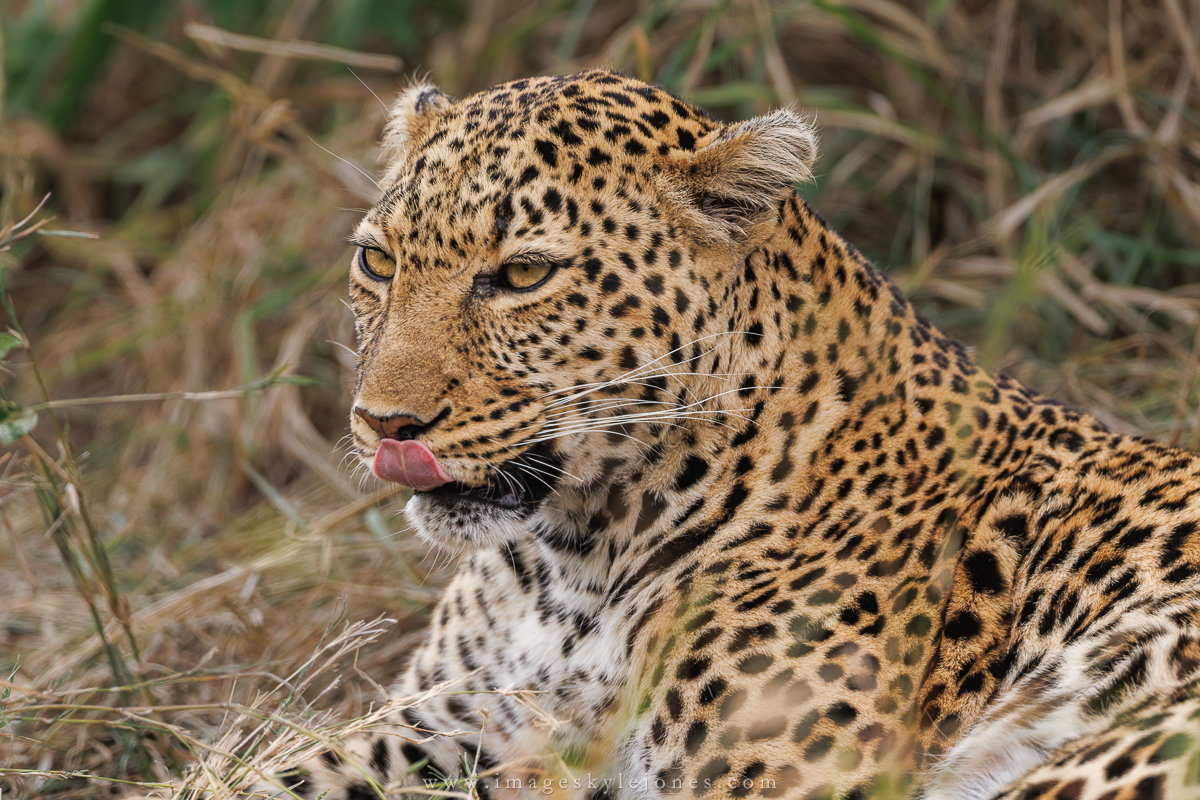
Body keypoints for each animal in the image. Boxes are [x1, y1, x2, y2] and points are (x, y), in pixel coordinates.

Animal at [272, 70, 1200, 800]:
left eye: (525, 274)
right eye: (378, 262)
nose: (383, 422)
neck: (569, 566)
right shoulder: (442, 720)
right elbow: (267, 773)